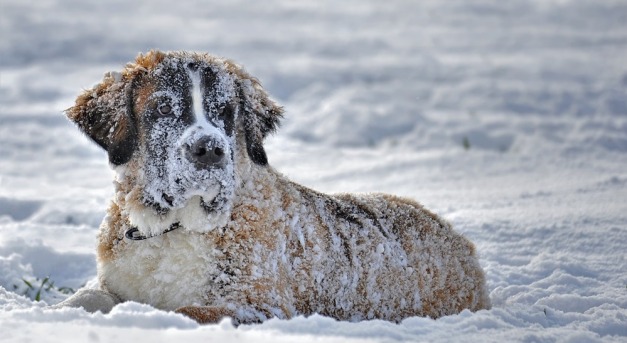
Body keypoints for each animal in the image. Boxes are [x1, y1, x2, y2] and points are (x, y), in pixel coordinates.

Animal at [56, 51, 490, 326]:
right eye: (163, 109)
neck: (171, 228)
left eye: (226, 112)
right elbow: (85, 298)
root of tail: (459, 241)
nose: (209, 149)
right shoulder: (113, 280)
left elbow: (184, 312)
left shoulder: (258, 305)